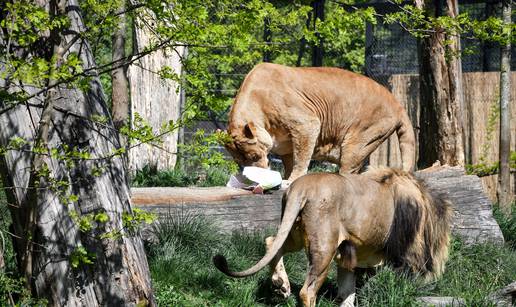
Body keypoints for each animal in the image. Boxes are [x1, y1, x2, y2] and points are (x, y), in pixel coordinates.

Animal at [214, 168, 452, 307]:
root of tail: (302, 186)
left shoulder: (349, 259)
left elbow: (347, 295)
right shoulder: (407, 255)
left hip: (295, 231)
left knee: (272, 242)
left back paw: (281, 284)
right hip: (324, 247)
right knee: (307, 292)